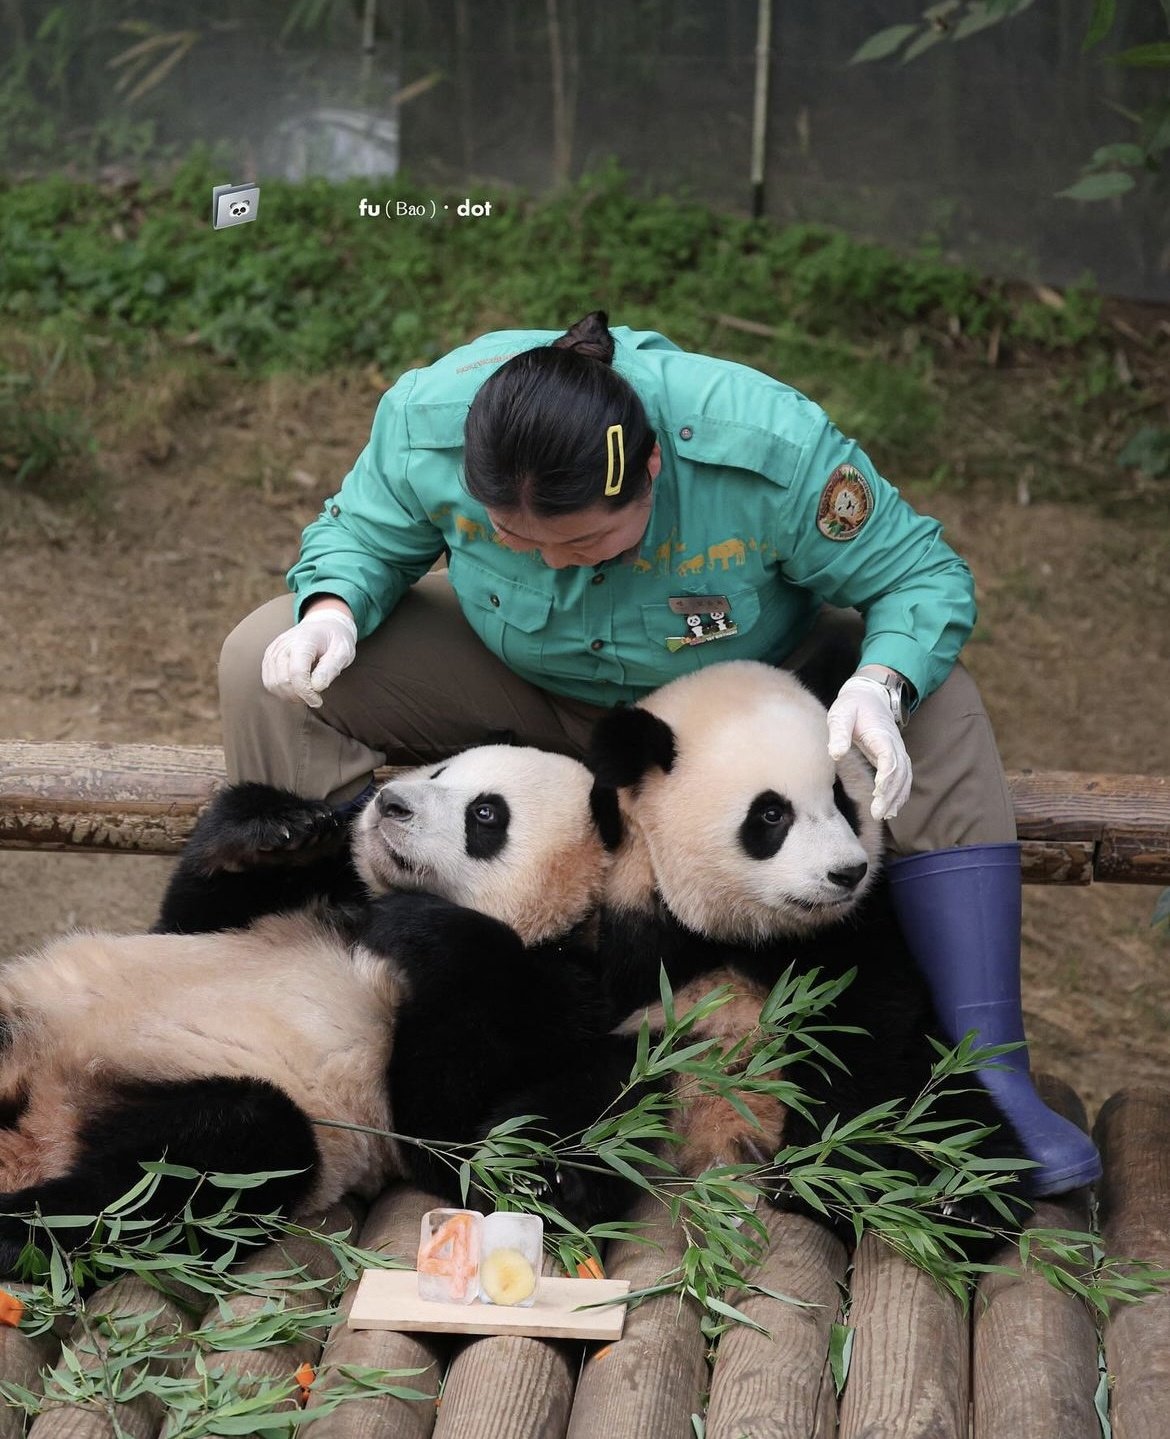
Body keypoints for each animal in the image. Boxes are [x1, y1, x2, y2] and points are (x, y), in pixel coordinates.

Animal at [0, 742, 647, 1272]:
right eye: (439, 770)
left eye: (486, 814)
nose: (390, 803)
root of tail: (36, 1127)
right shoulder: (283, 903)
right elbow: (188, 913)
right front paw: (282, 828)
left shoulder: (561, 996)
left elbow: (456, 1135)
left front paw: (422, 927)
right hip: (31, 1004)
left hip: (208, 1125)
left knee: (206, 1158)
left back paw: (23, 1226)